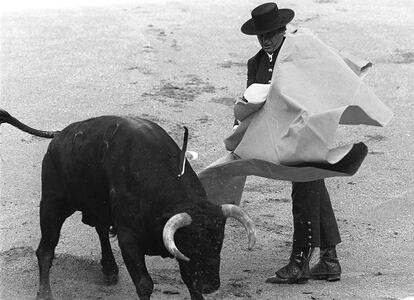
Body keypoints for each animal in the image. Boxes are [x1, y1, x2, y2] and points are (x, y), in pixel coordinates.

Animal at [0, 109, 256, 300]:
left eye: (219, 241)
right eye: (192, 243)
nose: (210, 286)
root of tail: (59, 135)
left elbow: (188, 280)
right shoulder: (129, 238)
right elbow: (145, 284)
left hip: (96, 207)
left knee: (100, 229)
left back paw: (110, 269)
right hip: (52, 203)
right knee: (46, 249)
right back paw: (44, 293)